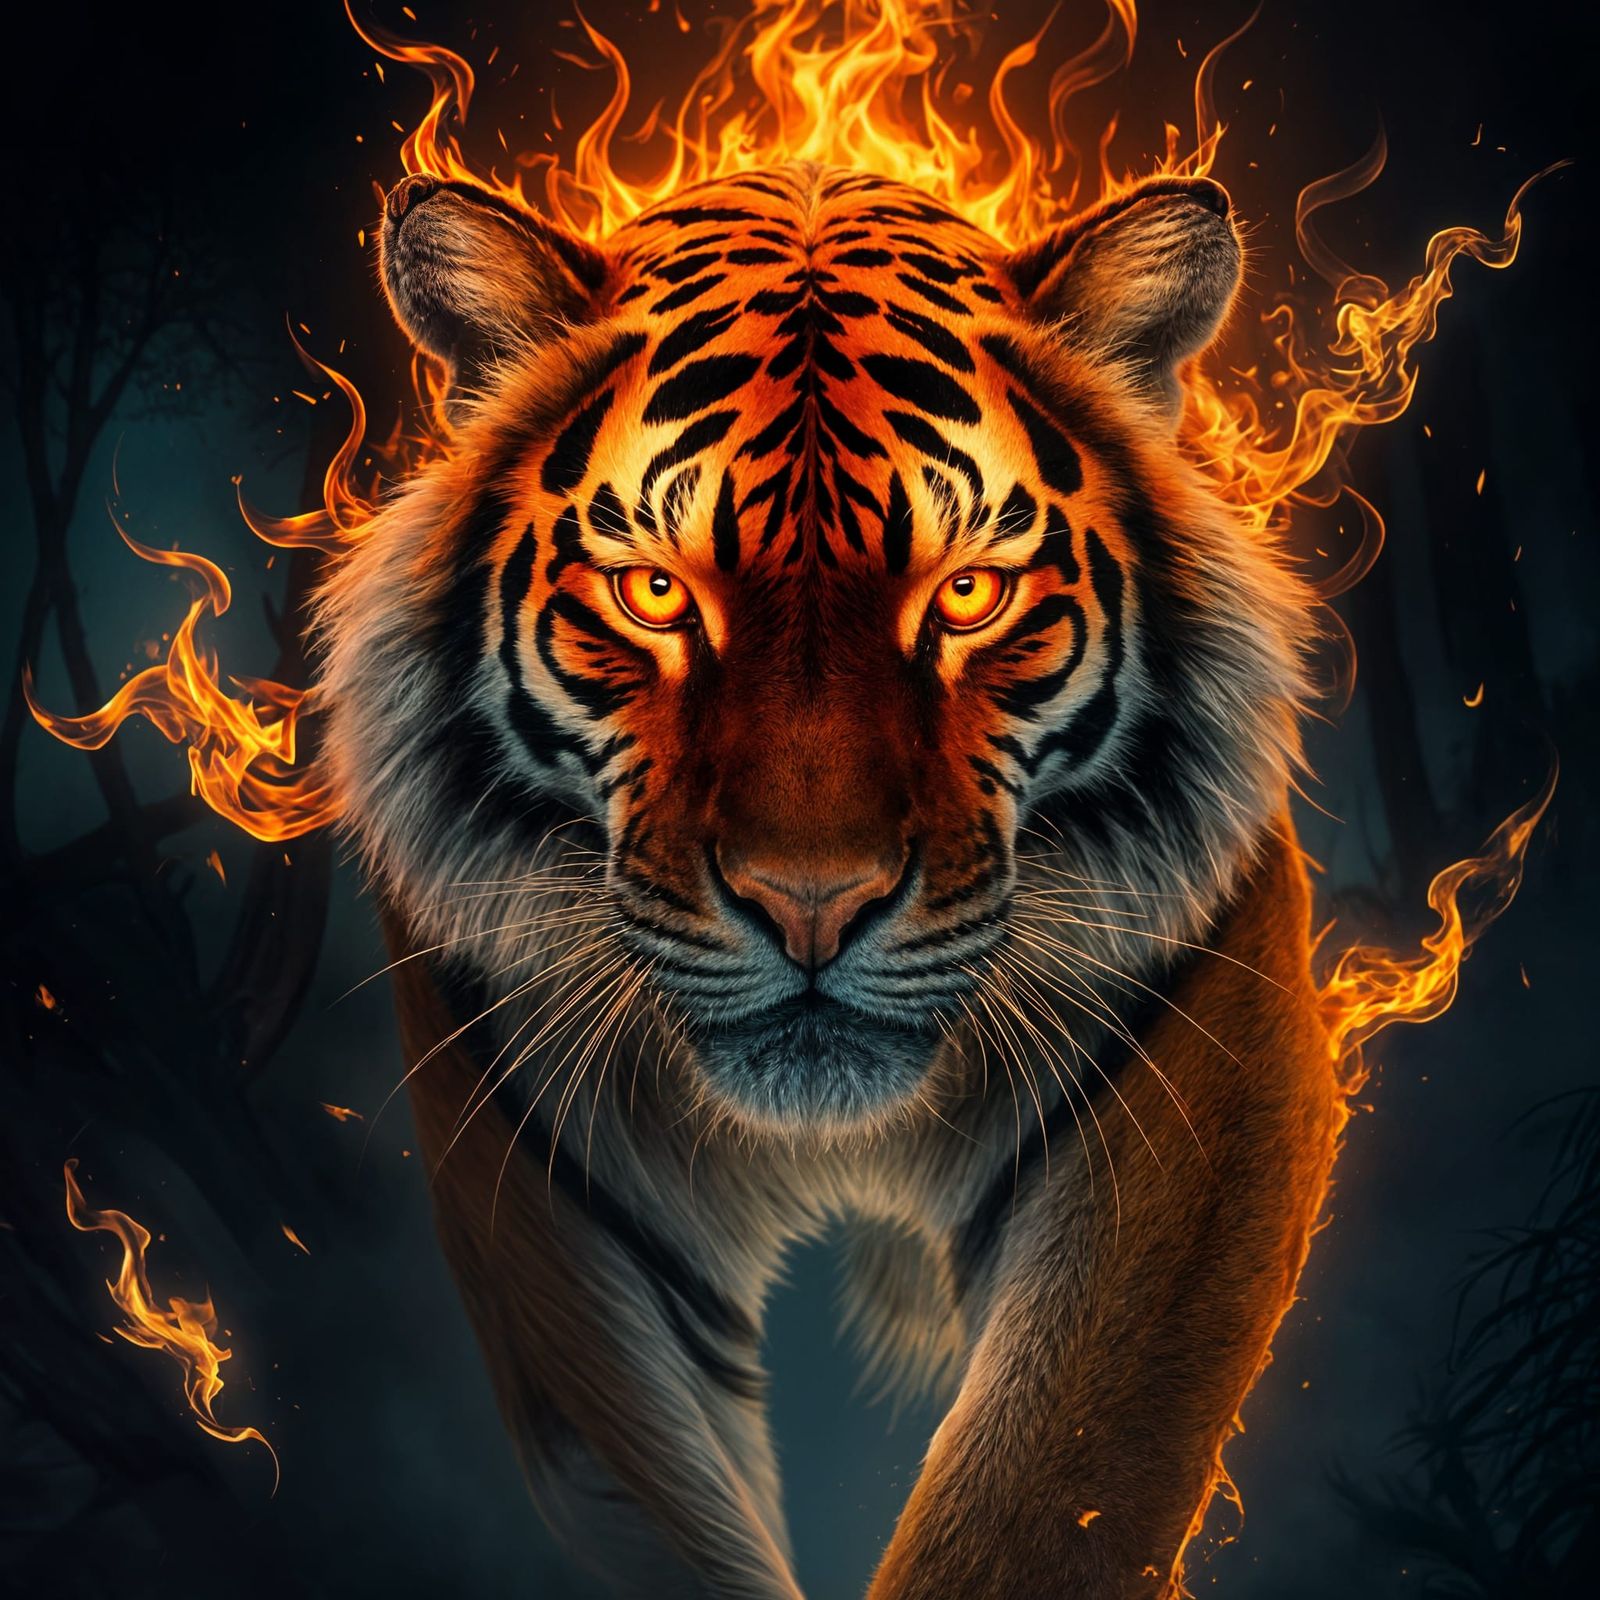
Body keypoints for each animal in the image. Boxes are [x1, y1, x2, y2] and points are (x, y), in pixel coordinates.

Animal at [317, 159, 1341, 1597]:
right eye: (652, 593)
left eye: (966, 595)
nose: (812, 903)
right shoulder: (535, 1177)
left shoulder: (1192, 1098)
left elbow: (1042, 1497)